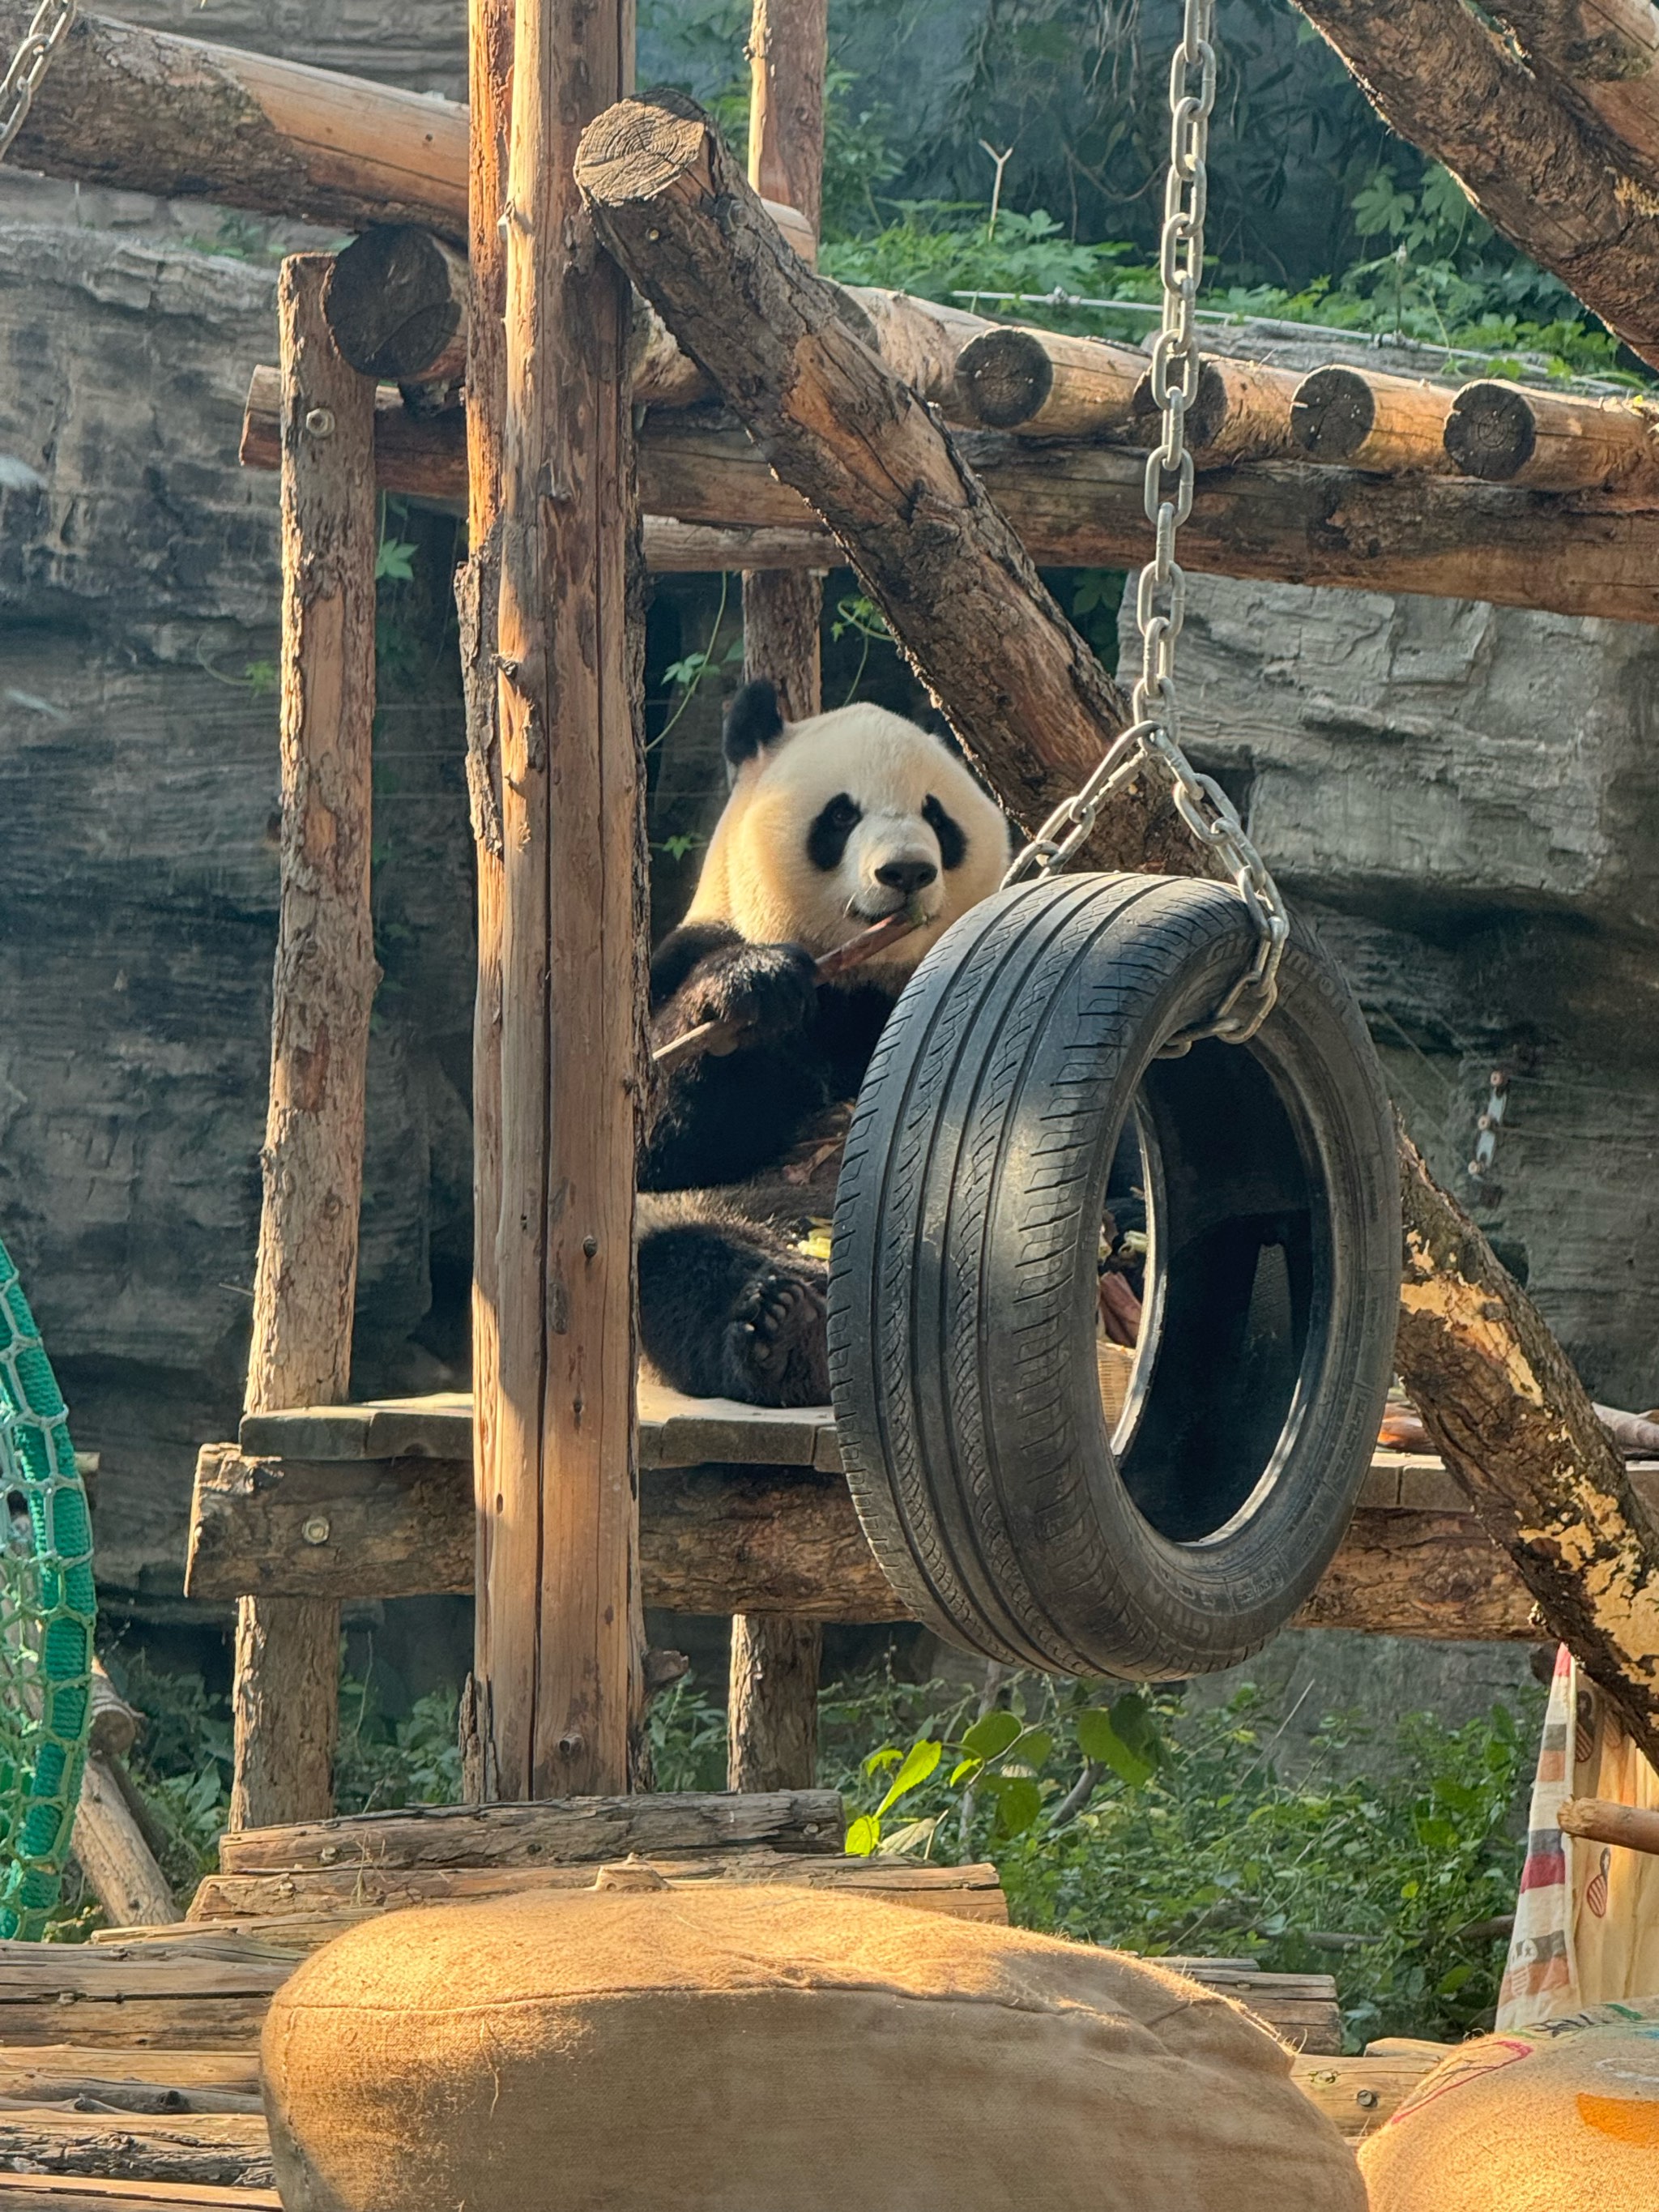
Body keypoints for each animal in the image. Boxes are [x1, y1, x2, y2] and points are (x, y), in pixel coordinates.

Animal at [637, 679, 1010, 1407]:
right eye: (840, 816)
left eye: (937, 817)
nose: (906, 872)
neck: (859, 979)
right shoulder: (692, 950)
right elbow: (653, 1142)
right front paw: (752, 989)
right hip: (707, 1229)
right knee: (678, 1262)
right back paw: (788, 1328)